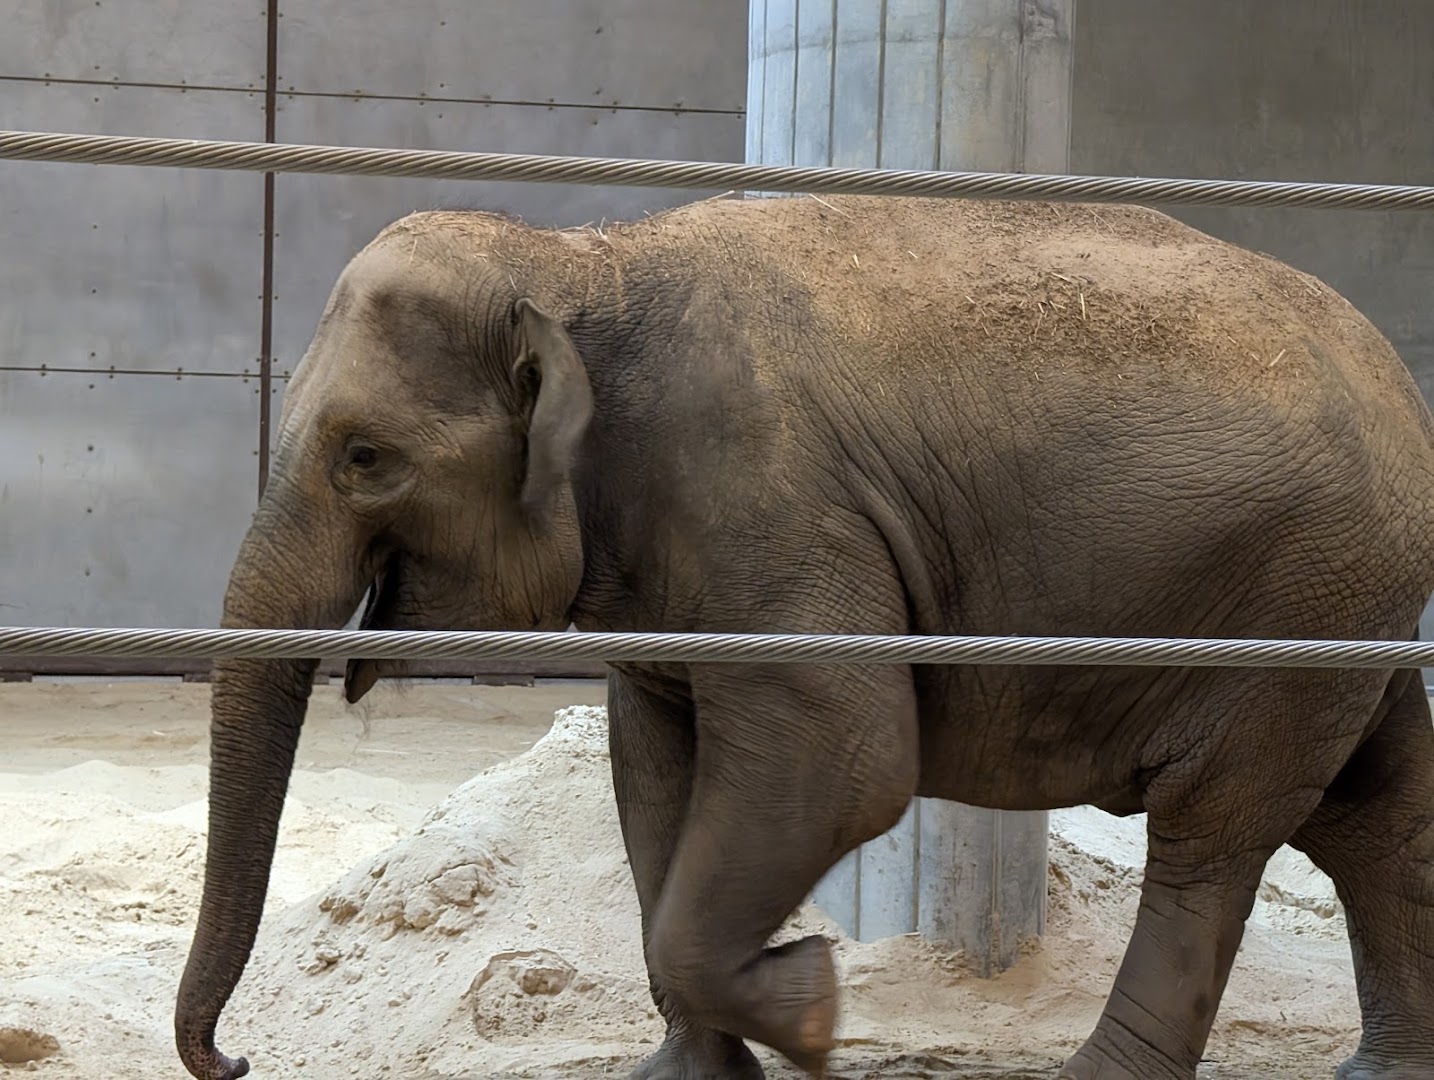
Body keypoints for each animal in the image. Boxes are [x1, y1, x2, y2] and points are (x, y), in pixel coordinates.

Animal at [174, 192, 1434, 1080]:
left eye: (364, 457)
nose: (236, 1059)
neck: (582, 261)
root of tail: (1403, 390)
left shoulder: (764, 500)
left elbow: (844, 759)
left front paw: (818, 1013)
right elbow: (655, 770)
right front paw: (690, 1074)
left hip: (1296, 611)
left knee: (1213, 833)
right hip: (1345, 617)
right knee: (1372, 815)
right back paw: (1383, 1070)